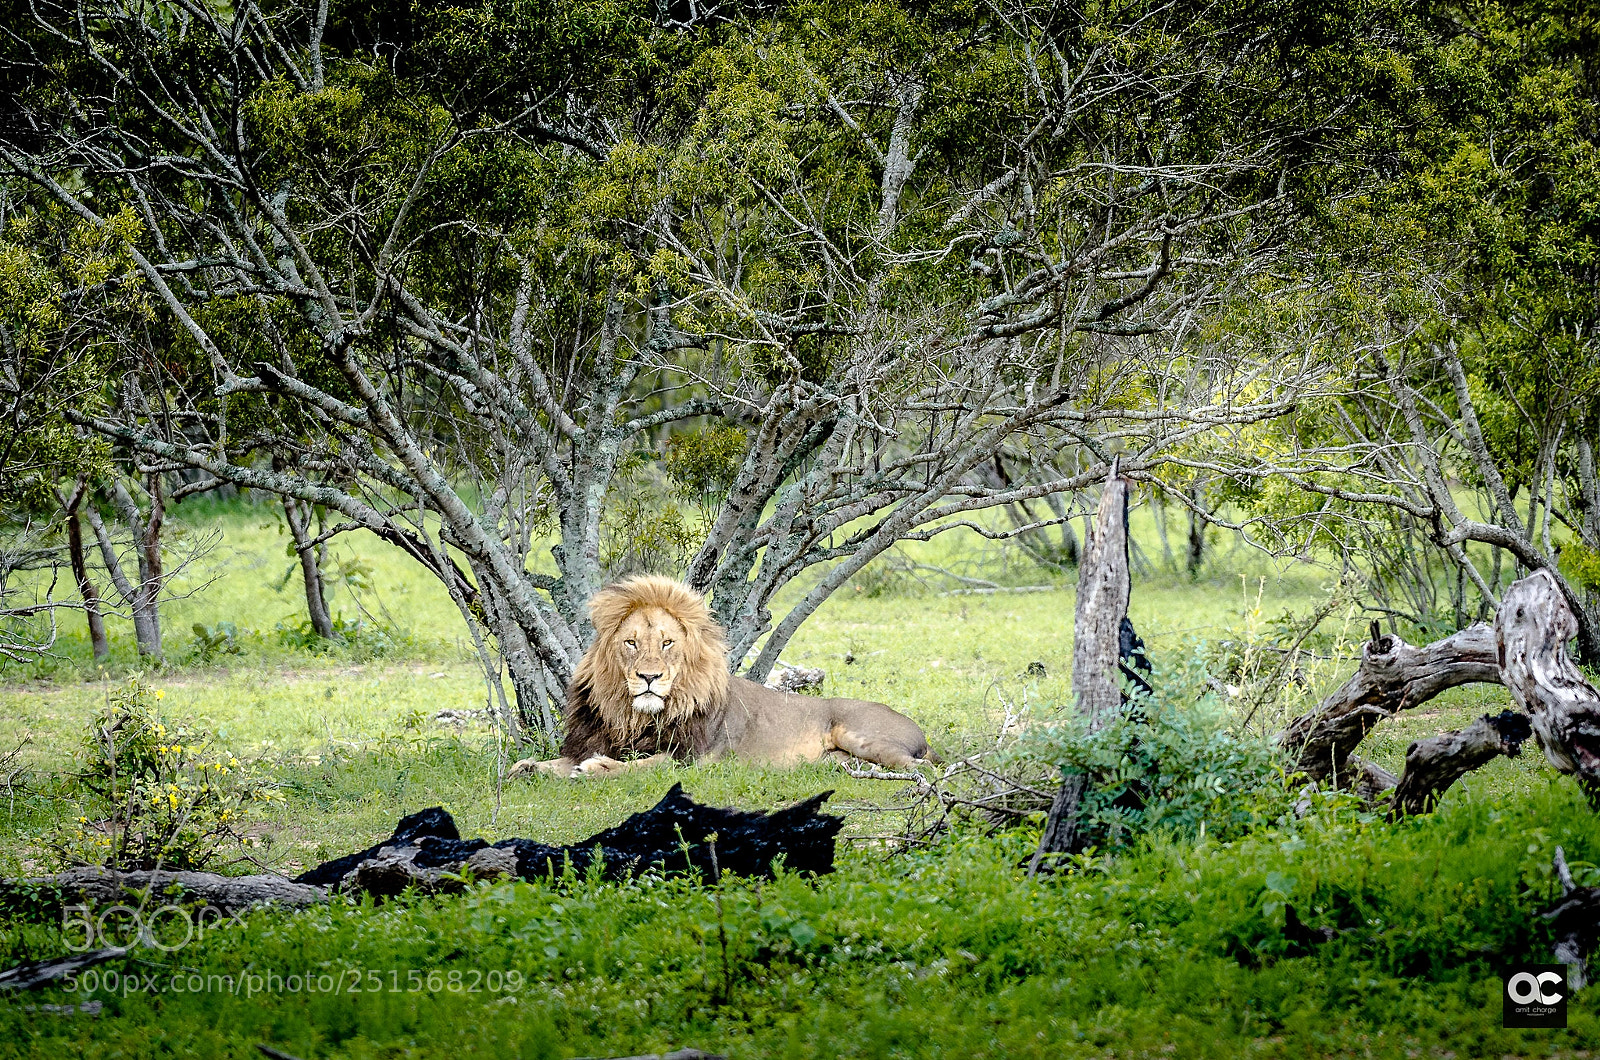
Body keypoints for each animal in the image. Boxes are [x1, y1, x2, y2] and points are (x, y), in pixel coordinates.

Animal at [509, 575, 933, 778]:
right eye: (631, 643)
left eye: (666, 643)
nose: (649, 677)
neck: (633, 717)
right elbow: (554, 763)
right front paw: (527, 768)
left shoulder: (690, 759)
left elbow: (647, 765)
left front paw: (599, 769)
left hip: (863, 734)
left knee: (921, 768)